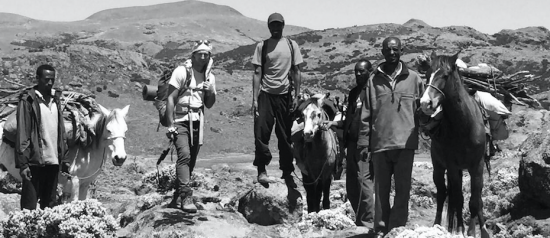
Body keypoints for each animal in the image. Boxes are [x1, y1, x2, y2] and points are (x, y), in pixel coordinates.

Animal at [0, 103, 129, 201]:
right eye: (108, 130)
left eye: (125, 130)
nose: (120, 158)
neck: (88, 149)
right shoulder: (75, 180)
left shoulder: (85, 183)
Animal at [420, 51, 494, 237]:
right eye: (427, 74)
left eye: (445, 75)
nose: (425, 103)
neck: (464, 126)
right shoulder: (452, 166)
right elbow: (458, 198)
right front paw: (460, 229)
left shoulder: (477, 166)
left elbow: (475, 200)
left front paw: (476, 230)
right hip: (439, 167)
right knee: (442, 194)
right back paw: (437, 225)